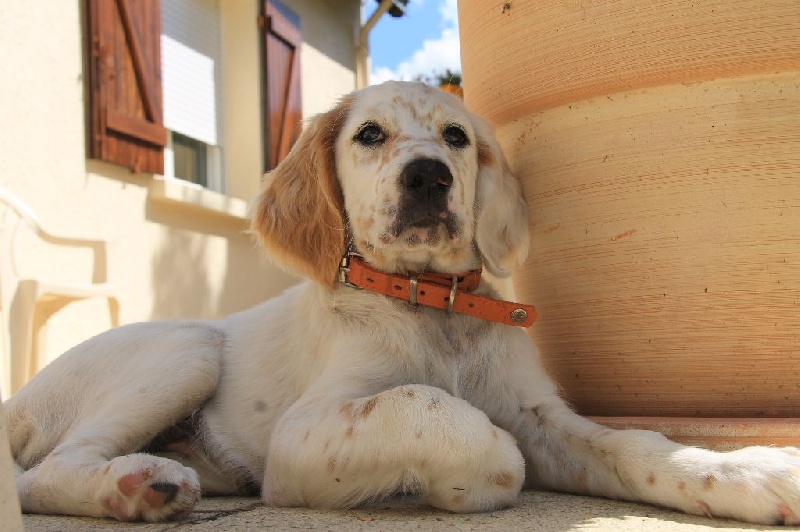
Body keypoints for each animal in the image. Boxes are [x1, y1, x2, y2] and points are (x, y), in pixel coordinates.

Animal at [6, 82, 800, 524]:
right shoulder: (301, 436)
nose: (428, 177)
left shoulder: (541, 415)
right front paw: (477, 469)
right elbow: (434, 408)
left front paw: (751, 471)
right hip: (187, 345)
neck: (432, 306)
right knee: (44, 471)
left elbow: (636, 443)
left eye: (455, 137)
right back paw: (134, 485)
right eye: (369, 134)